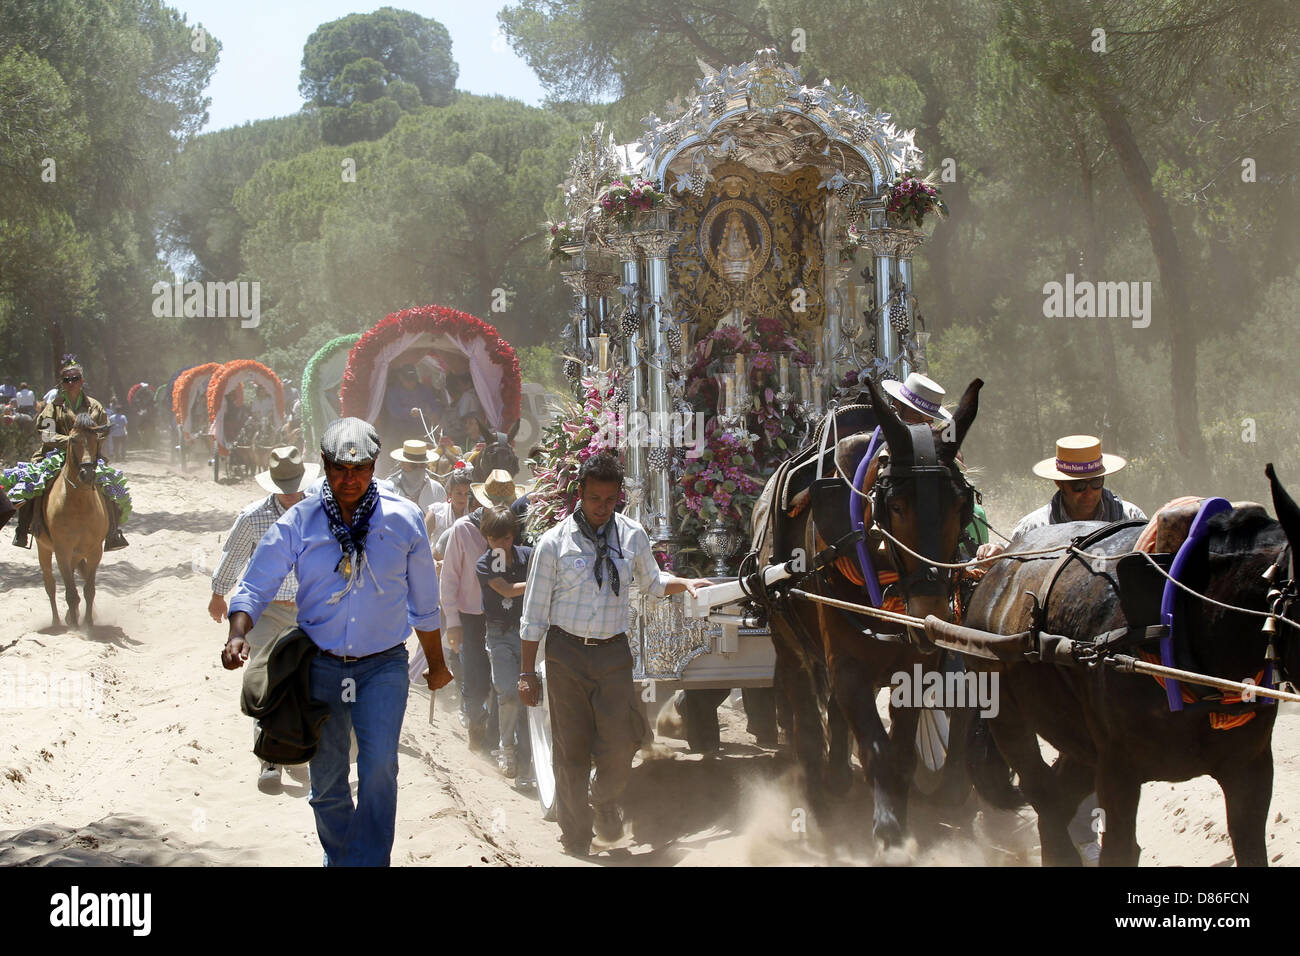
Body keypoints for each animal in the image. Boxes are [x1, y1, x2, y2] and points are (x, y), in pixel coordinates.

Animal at [36, 413, 110, 629]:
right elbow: (70, 592)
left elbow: (89, 590)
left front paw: (88, 623)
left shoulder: (95, 551)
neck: (79, 504)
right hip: (43, 548)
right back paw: (57, 621)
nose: (88, 474)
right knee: (50, 586)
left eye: (96, 439)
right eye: (73, 440)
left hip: (77, 553)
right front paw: (76, 627)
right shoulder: (62, 550)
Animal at [759, 374, 977, 842]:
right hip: (788, 642)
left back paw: (840, 775)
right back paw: (819, 804)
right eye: (896, 506)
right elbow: (878, 750)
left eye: (961, 506)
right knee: (806, 720)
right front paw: (889, 832)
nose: (928, 609)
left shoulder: (915, 666)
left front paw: (898, 818)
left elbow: (902, 754)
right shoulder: (846, 665)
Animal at [967, 468, 1300, 868]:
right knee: (1042, 794)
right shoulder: (1118, 769)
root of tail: (997, 570)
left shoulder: (1250, 768)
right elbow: (1120, 849)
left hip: (1079, 743)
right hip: (1007, 717)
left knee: (1057, 802)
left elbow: (1250, 846)